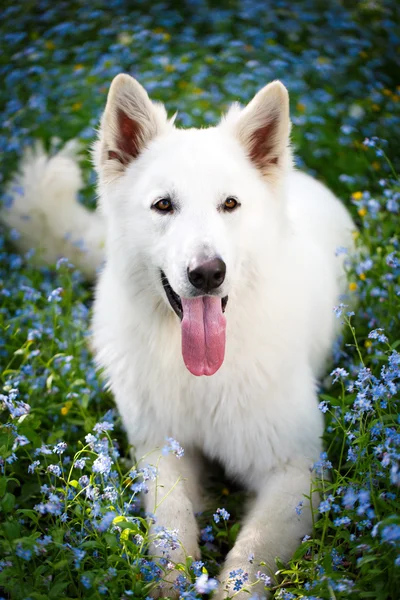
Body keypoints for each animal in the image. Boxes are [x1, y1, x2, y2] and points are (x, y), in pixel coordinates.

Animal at [2, 74, 354, 596]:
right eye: (163, 205)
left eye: (230, 204)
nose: (207, 273)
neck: (202, 376)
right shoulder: (160, 450)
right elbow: (170, 527)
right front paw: (171, 582)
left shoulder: (295, 469)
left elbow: (250, 556)